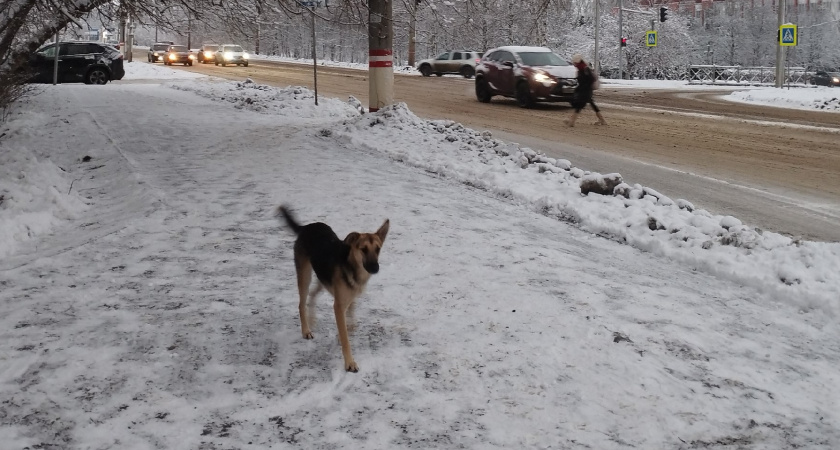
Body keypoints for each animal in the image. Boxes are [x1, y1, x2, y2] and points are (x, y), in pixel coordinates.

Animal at [278, 206, 390, 370]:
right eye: (363, 249)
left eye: (378, 249)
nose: (375, 268)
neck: (353, 267)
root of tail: (306, 227)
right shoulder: (338, 306)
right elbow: (345, 337)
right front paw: (349, 362)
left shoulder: (349, 298)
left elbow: (349, 323)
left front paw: (345, 332)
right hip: (305, 275)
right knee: (301, 303)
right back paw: (306, 330)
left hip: (323, 277)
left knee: (312, 295)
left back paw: (312, 320)